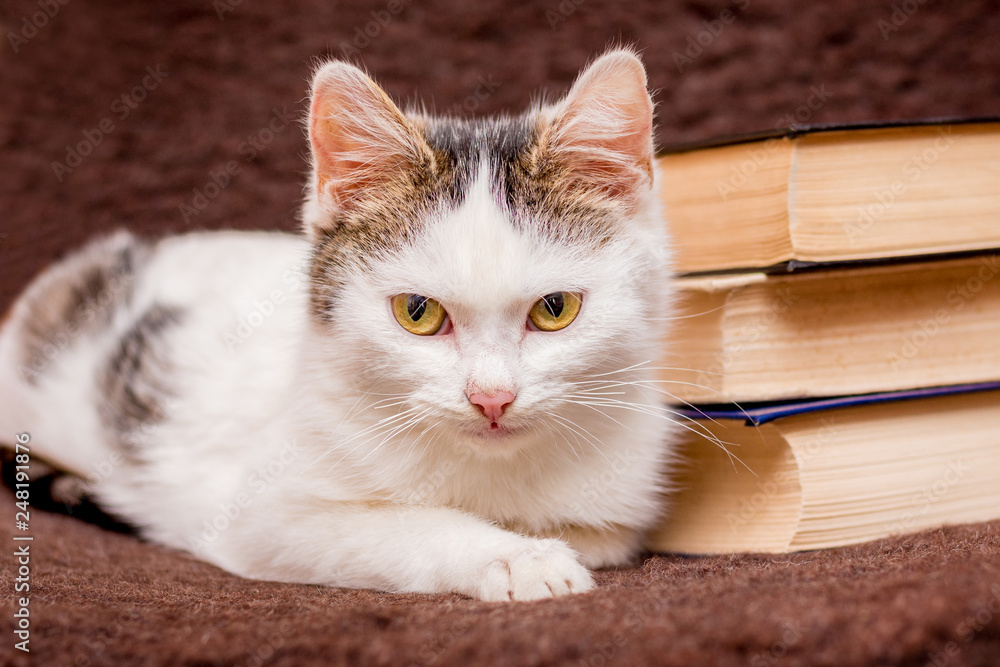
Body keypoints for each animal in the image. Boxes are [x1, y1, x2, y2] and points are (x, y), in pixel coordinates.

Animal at [1, 47, 680, 600]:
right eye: (418, 312)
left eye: (554, 309)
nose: (492, 398)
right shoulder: (260, 520)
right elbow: (404, 526)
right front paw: (516, 558)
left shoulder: (619, 517)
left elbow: (598, 535)